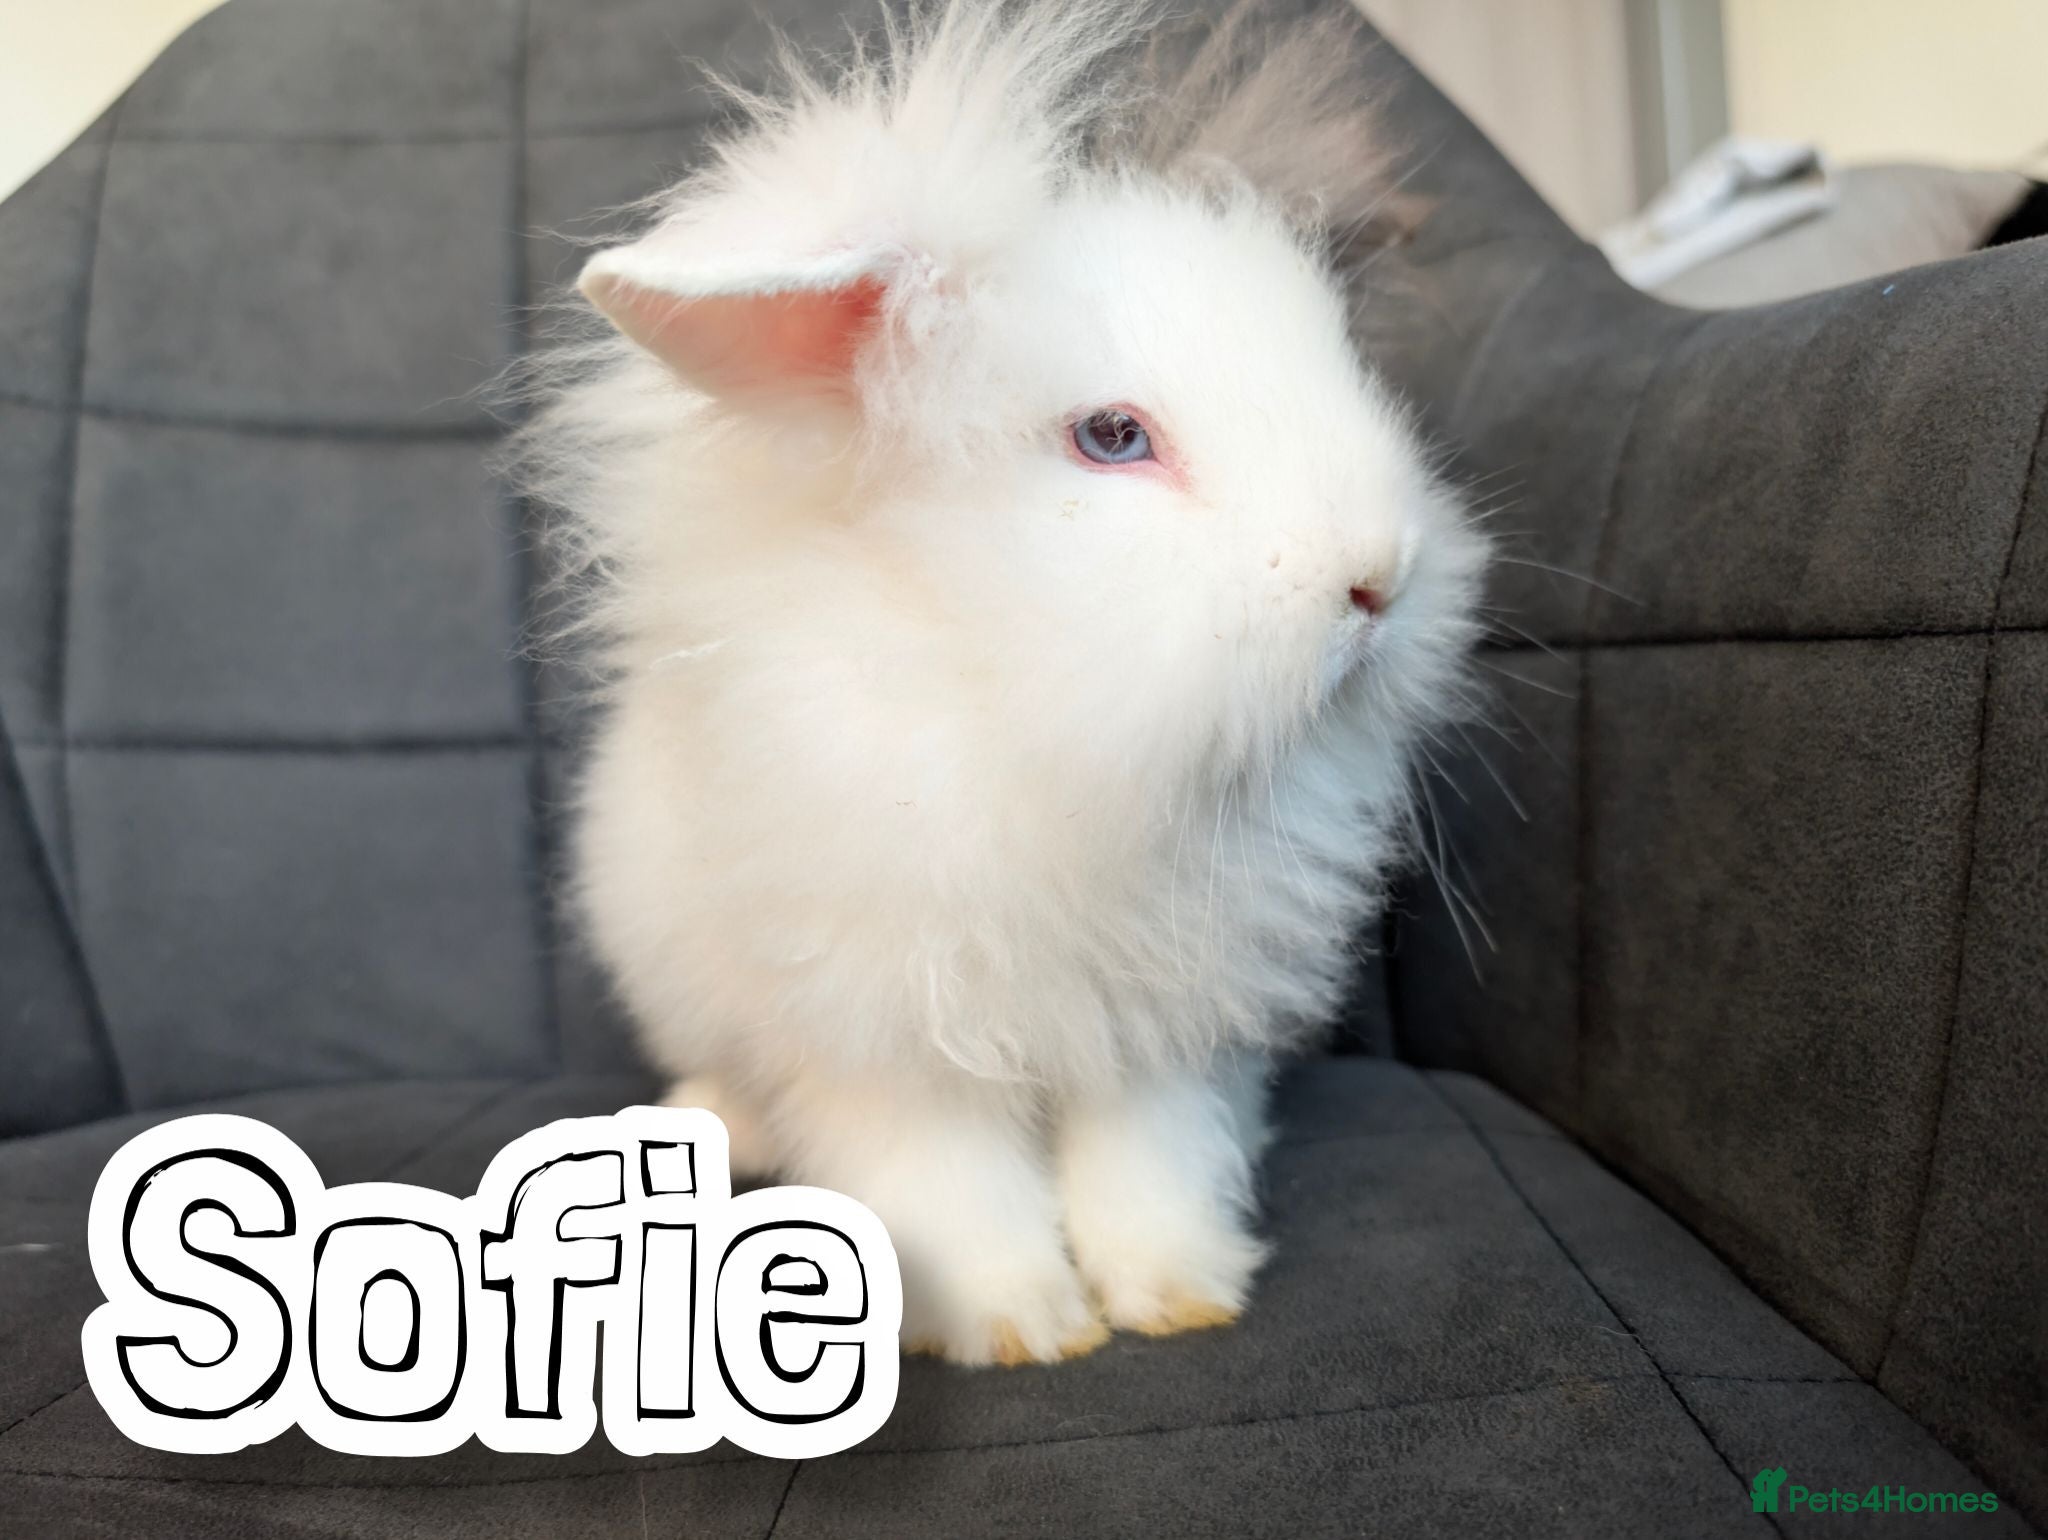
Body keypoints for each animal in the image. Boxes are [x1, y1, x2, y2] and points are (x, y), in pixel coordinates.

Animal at [512, 0, 1487, 1367]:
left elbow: (1151, 1162)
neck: (1031, 720)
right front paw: (1015, 1324)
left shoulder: (1164, 1026)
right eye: (1111, 437)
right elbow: (944, 1183)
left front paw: (1175, 1295)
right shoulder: (880, 1031)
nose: (1377, 580)